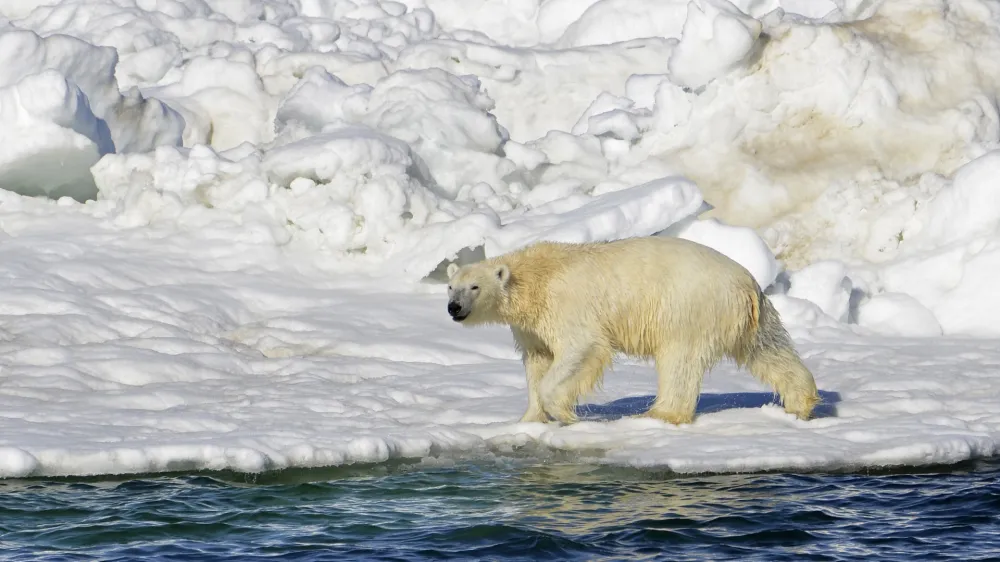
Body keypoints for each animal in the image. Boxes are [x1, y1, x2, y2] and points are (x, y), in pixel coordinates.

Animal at [448, 236, 820, 424]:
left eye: (474, 287)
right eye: (451, 287)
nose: (454, 308)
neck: (536, 278)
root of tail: (746, 284)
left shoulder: (567, 306)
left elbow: (582, 348)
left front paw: (565, 413)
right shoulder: (532, 326)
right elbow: (537, 360)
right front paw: (529, 419)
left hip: (688, 307)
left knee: (679, 360)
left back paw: (660, 413)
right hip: (750, 317)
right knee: (769, 350)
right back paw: (800, 403)